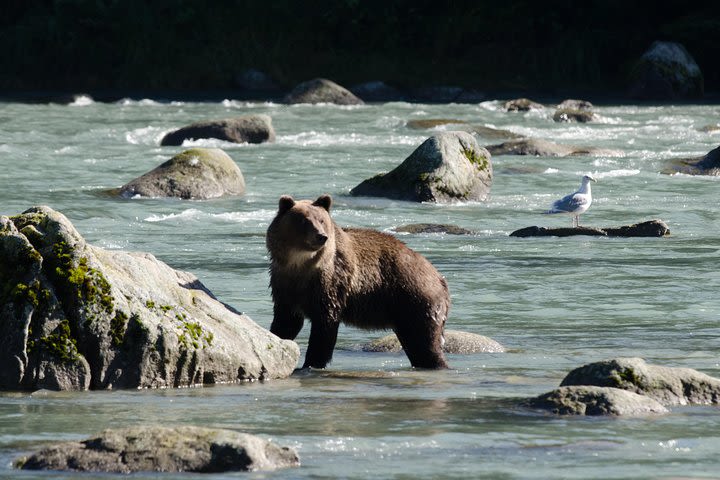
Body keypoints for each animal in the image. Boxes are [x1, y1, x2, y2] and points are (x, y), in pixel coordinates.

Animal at [264, 193, 450, 370]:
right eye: (304, 220)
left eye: (322, 220)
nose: (321, 236)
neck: (300, 263)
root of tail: (440, 278)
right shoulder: (284, 283)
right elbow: (286, 321)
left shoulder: (329, 283)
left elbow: (324, 326)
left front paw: (311, 362)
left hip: (414, 298)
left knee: (425, 341)